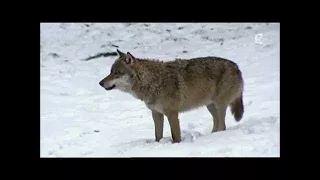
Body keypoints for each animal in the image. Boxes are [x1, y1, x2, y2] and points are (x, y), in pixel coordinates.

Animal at [99, 49, 244, 143]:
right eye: (110, 71)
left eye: (116, 73)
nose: (100, 83)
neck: (152, 81)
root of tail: (236, 67)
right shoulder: (156, 113)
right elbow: (158, 136)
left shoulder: (172, 113)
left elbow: (175, 136)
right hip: (210, 106)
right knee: (217, 124)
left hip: (219, 105)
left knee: (222, 126)